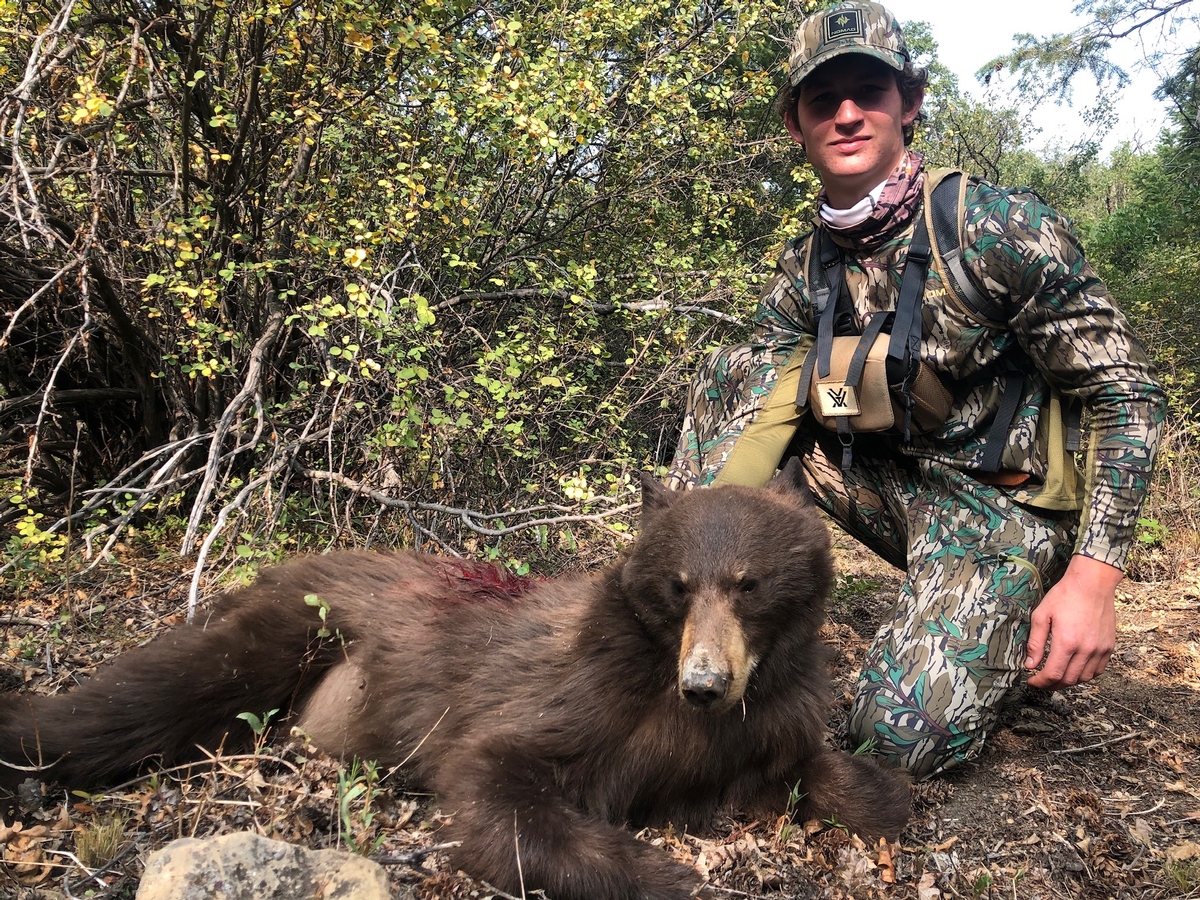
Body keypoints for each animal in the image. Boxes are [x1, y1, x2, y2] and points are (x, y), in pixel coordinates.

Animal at [0, 460, 910, 900]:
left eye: (748, 585)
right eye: (680, 585)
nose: (704, 684)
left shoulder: (761, 721)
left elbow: (833, 776)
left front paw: (870, 792)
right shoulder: (580, 698)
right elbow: (495, 776)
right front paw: (671, 876)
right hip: (297, 629)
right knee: (155, 691)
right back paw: (29, 734)